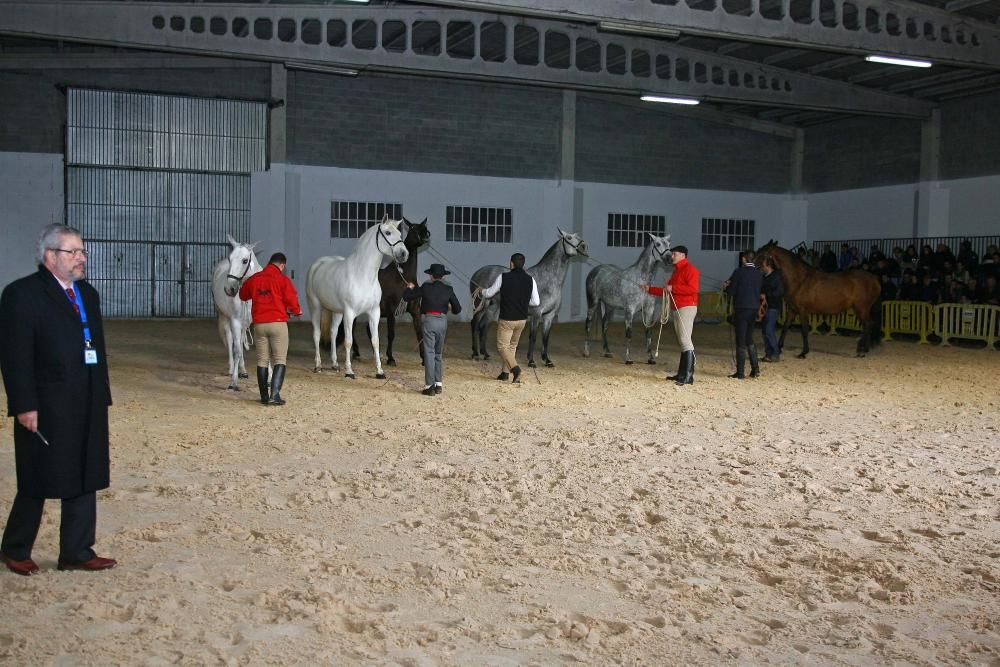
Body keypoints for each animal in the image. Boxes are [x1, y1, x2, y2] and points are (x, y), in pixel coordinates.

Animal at [211, 236, 262, 388]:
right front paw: (233, 381)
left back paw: (243, 370)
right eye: (230, 258)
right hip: (225, 317)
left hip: (244, 323)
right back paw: (231, 368)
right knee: (230, 341)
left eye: (245, 260)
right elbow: (237, 349)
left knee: (240, 340)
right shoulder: (235, 321)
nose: (229, 289)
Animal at [308, 217, 410, 378]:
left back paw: (335, 364)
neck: (362, 276)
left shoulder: (374, 312)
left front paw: (380, 371)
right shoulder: (350, 313)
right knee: (317, 333)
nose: (404, 254)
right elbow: (348, 341)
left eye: (400, 234)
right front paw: (349, 371)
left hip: (337, 311)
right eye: (388, 232)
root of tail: (318, 263)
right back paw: (318, 365)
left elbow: (375, 341)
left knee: (333, 332)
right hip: (315, 307)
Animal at [752, 243, 880, 360]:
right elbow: (785, 327)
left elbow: (804, 330)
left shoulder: (803, 311)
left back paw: (861, 350)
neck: (799, 280)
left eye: (762, 254)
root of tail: (874, 279)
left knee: (867, 324)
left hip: (861, 308)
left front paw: (803, 352)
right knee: (869, 324)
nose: (751, 265)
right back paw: (865, 349)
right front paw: (779, 347)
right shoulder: (792, 310)